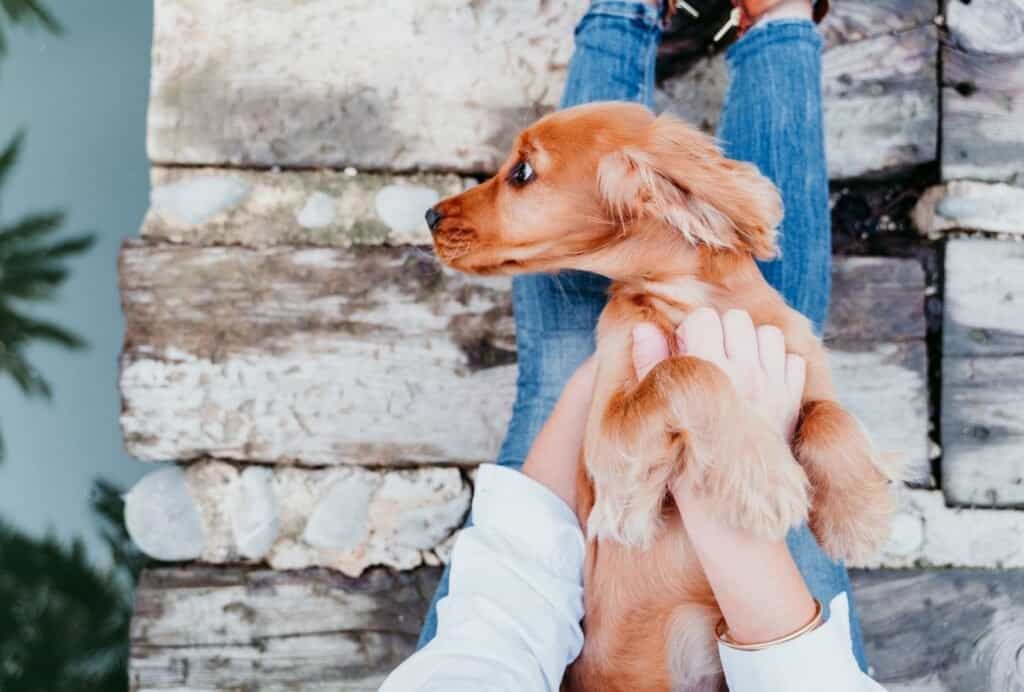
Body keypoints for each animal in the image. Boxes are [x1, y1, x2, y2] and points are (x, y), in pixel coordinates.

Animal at [423, 102, 897, 692]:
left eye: (523, 172)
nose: (429, 215)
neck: (693, 295)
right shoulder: (607, 442)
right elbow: (688, 370)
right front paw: (761, 478)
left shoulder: (801, 363)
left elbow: (830, 416)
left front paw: (859, 515)